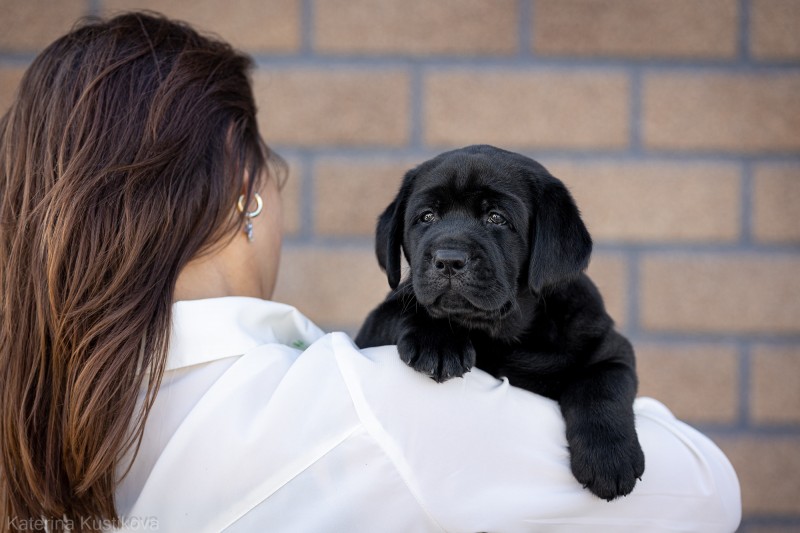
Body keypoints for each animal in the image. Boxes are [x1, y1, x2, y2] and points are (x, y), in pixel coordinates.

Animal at [354, 144, 644, 498]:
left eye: (497, 218)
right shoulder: (372, 328)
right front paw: (437, 342)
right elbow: (403, 311)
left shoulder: (608, 346)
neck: (501, 334)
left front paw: (609, 459)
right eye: (426, 217)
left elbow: (601, 384)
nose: (448, 259)